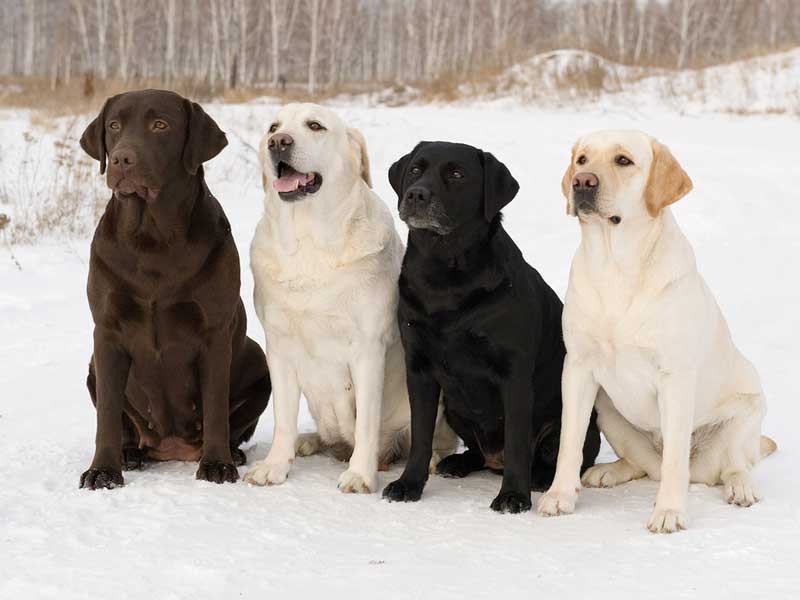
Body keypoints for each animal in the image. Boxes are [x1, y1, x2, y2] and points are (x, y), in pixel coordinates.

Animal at [78, 90, 272, 492]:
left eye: (160, 125)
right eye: (114, 125)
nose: (122, 158)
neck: (152, 238)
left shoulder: (214, 333)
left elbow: (214, 406)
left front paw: (217, 464)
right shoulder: (106, 333)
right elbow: (107, 413)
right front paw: (103, 470)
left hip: (259, 361)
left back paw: (232, 453)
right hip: (91, 367)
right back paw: (130, 454)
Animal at [244, 103, 456, 494]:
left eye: (315, 126)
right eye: (273, 128)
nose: (278, 143)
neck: (310, 241)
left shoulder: (368, 349)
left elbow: (366, 423)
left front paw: (360, 474)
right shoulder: (279, 348)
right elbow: (283, 417)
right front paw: (275, 466)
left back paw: (432, 458)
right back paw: (307, 441)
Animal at [382, 141, 600, 510]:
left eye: (457, 174)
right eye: (415, 169)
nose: (416, 194)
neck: (444, 274)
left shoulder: (514, 374)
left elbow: (516, 441)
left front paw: (513, 495)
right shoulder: (419, 369)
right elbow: (420, 437)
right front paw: (408, 484)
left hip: (569, 421)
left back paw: (540, 477)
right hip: (454, 409)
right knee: (477, 453)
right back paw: (457, 462)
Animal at [536, 131, 776, 536]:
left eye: (623, 161)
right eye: (582, 159)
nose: (582, 182)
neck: (615, 264)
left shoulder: (674, 377)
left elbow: (676, 462)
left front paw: (669, 511)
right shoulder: (578, 369)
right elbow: (569, 442)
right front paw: (559, 496)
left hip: (745, 415)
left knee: (729, 465)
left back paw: (740, 487)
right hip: (608, 411)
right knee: (646, 466)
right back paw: (608, 472)